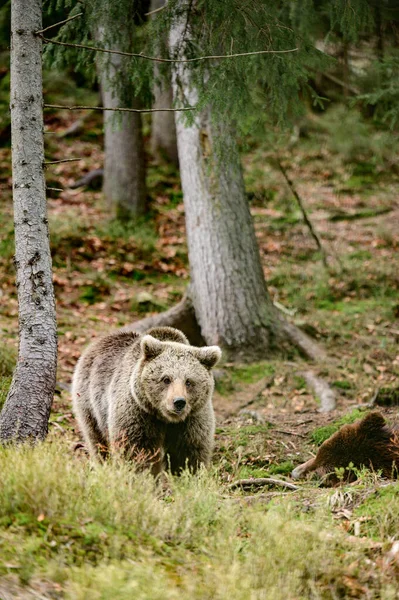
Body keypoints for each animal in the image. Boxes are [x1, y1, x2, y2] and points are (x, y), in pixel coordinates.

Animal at [72, 326, 222, 476]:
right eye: (166, 379)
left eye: (189, 381)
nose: (179, 402)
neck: (165, 419)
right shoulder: (138, 413)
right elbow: (137, 451)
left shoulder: (191, 420)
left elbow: (188, 454)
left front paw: (187, 475)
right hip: (90, 402)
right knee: (97, 439)